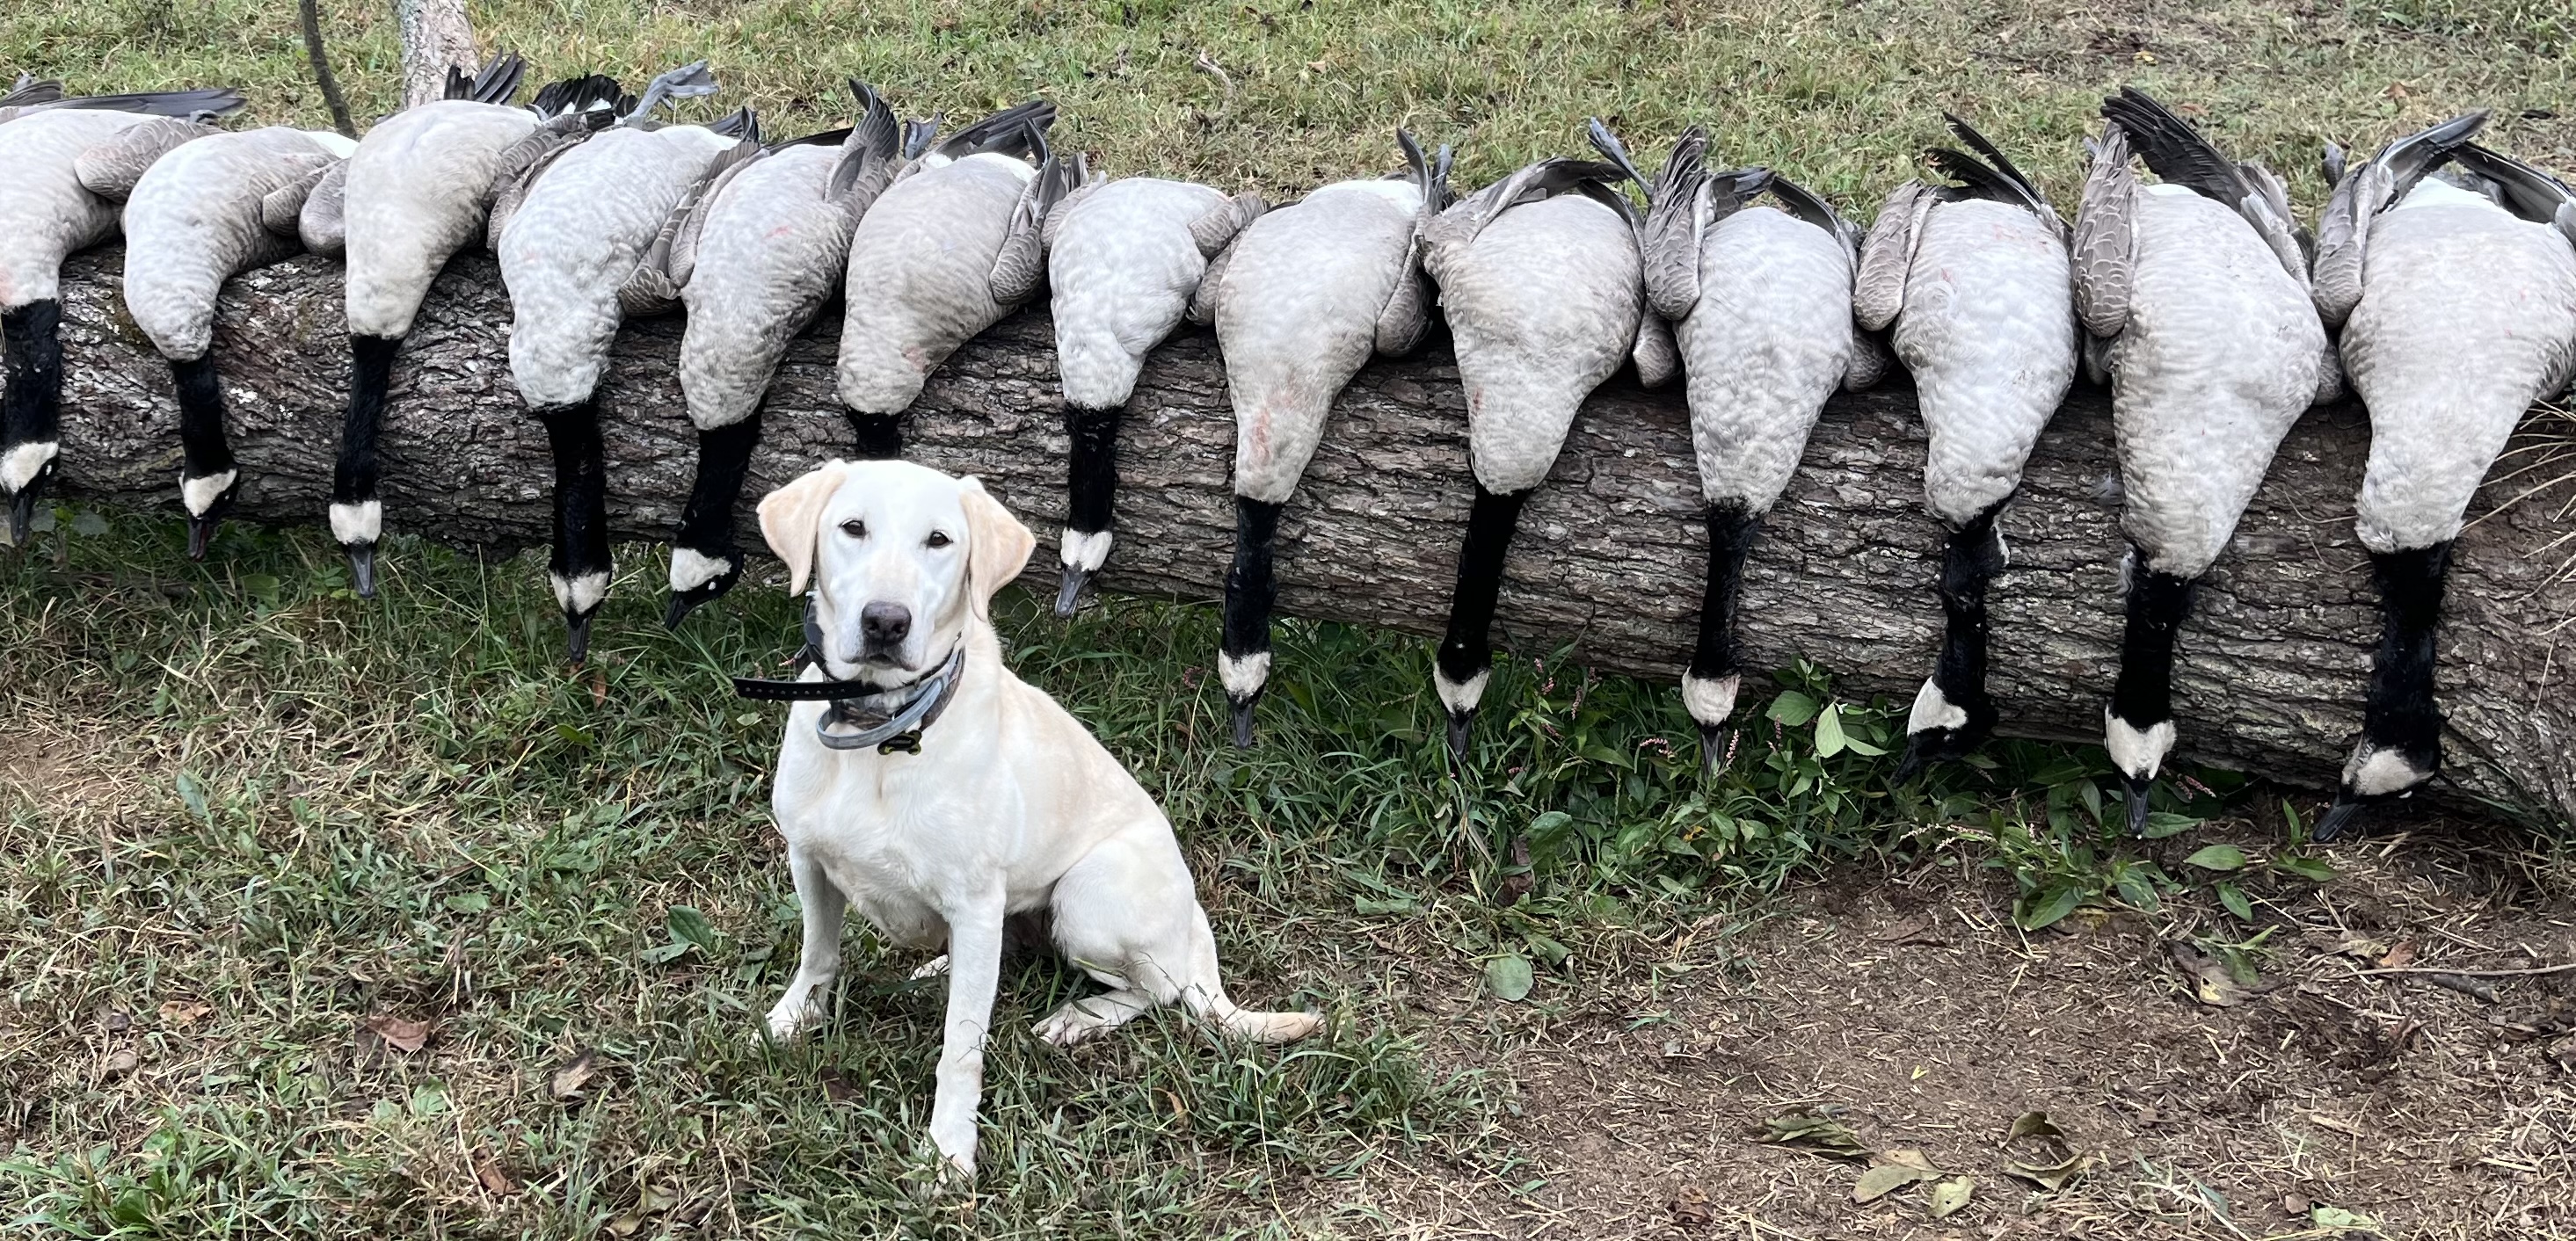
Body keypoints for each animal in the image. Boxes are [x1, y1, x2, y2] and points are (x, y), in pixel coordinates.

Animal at [752, 459, 1323, 1180]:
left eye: (939, 540)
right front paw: (791, 1020)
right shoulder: (810, 863)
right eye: (852, 527)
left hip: (1085, 903)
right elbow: (817, 955)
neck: (882, 733)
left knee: (1156, 991)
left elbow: (960, 1045)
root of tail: (1192, 919)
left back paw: (1079, 1017)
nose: (885, 621)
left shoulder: (973, 904)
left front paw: (950, 1149)